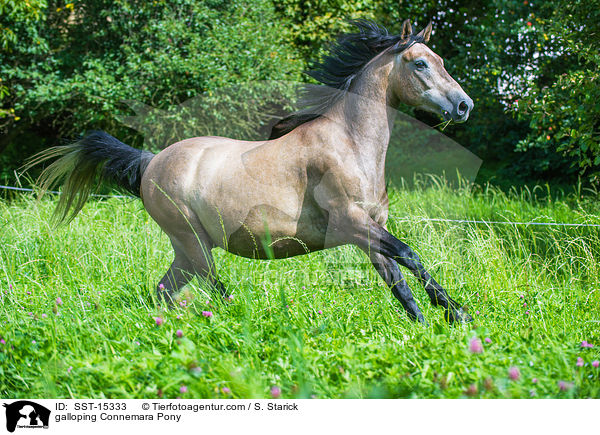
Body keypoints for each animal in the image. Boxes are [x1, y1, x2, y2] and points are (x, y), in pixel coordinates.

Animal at [27, 21, 474, 328]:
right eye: (420, 63)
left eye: (441, 62)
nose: (464, 105)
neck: (350, 143)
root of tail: (149, 161)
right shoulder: (350, 222)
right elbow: (410, 255)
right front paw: (458, 315)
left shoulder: (368, 230)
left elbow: (400, 280)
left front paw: (435, 323)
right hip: (193, 242)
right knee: (210, 285)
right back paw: (233, 319)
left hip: (187, 250)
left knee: (163, 291)